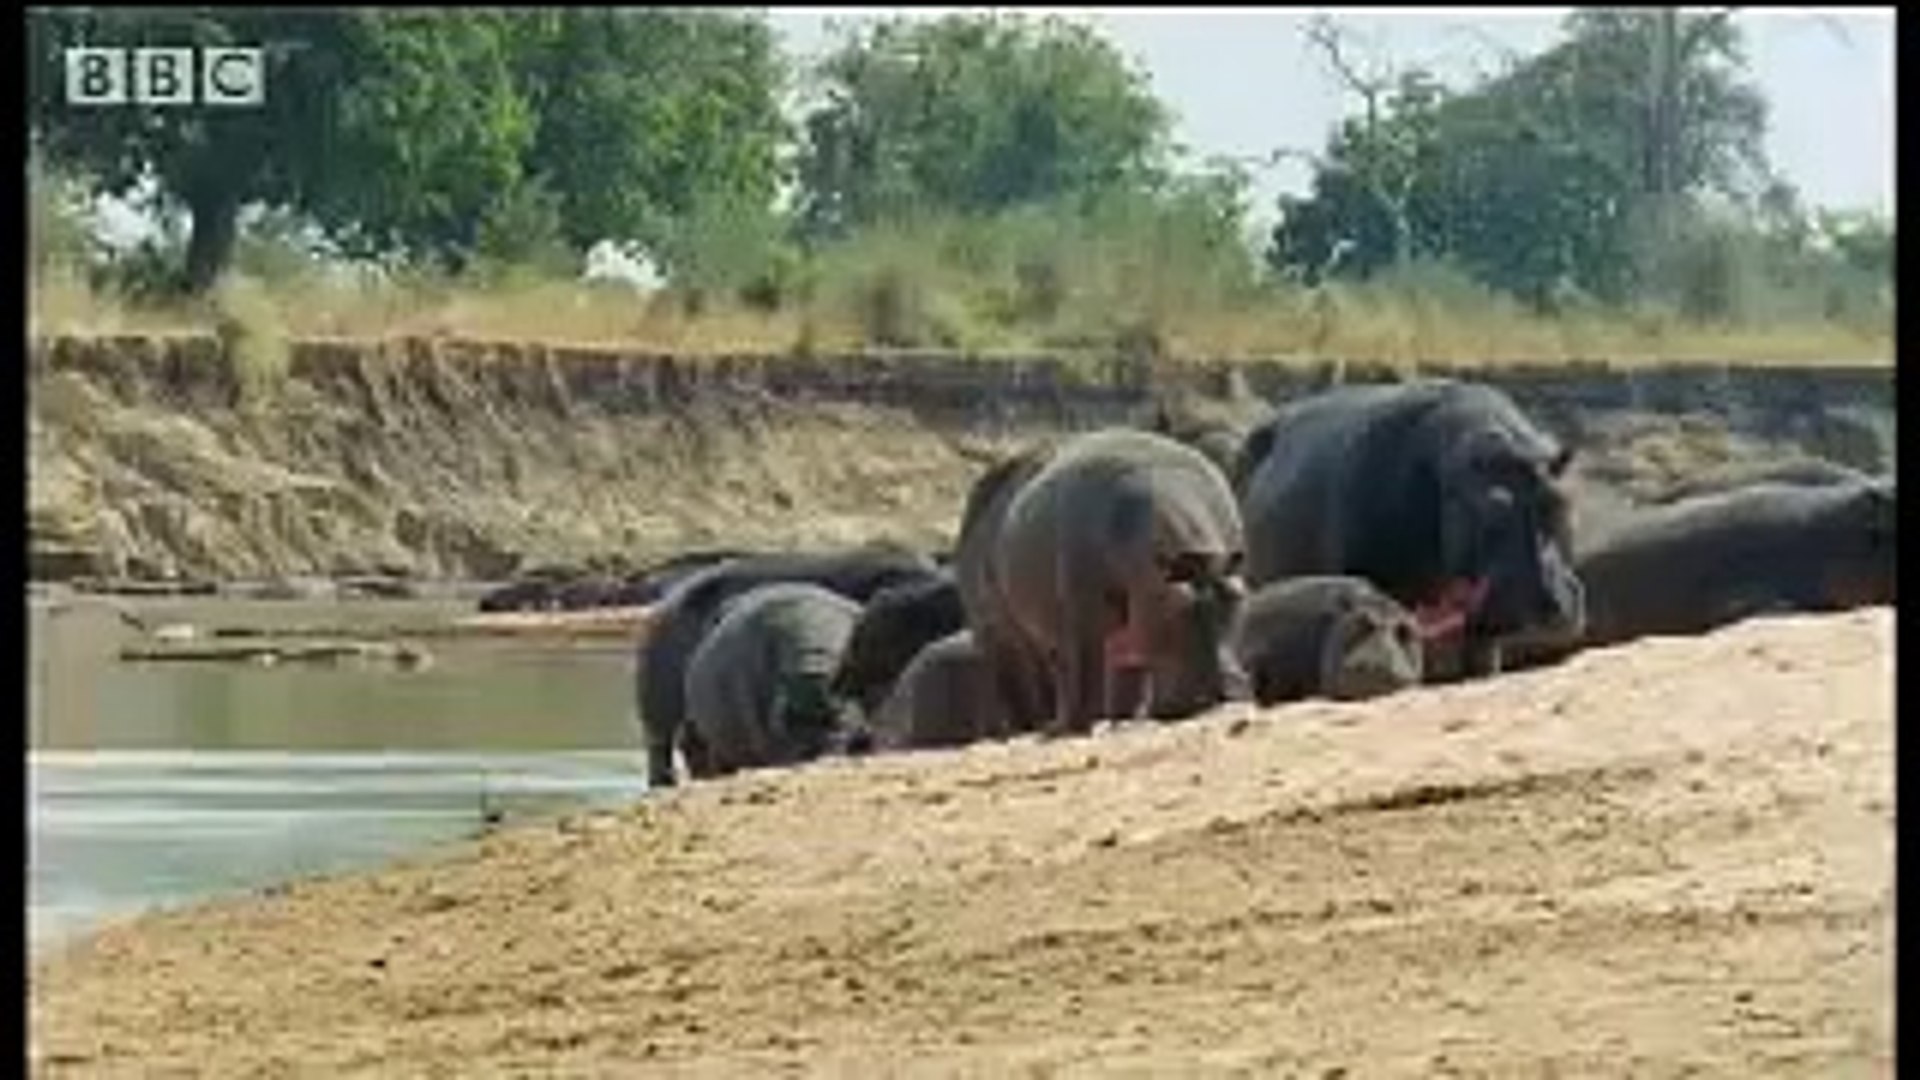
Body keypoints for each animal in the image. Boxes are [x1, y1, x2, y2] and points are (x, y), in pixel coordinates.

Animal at [987, 428, 1251, 736]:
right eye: (1182, 602)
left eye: (1237, 595)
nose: (1233, 689)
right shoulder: (1084, 611)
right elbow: (1086, 668)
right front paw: (1079, 728)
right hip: (1051, 636)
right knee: (1066, 672)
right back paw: (1061, 728)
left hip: (1124, 636)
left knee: (1123, 672)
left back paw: (1123, 719)